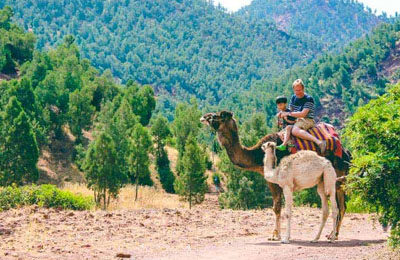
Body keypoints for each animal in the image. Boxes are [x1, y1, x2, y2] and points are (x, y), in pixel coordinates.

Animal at [200, 110, 350, 241]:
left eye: (217, 116)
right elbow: (275, 207)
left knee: (341, 205)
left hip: (338, 175)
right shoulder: (270, 181)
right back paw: (332, 234)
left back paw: (333, 235)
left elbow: (278, 206)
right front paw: (275, 234)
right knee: (339, 205)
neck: (258, 156)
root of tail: (346, 152)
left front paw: (276, 235)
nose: (203, 117)